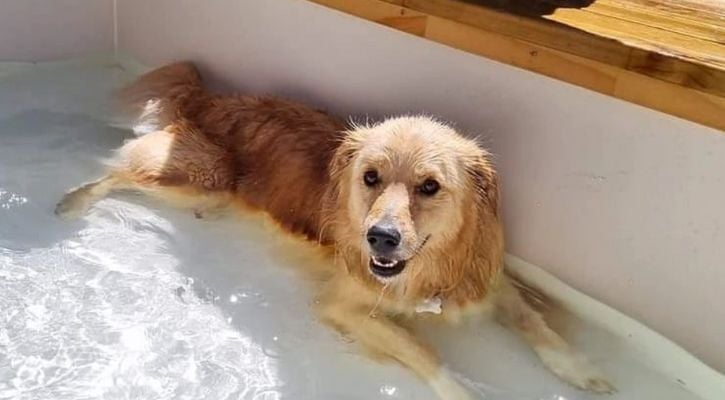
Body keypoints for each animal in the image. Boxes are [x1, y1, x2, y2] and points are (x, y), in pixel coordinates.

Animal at [55, 62, 612, 400]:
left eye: (430, 186)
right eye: (370, 177)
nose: (380, 238)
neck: (427, 272)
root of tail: (212, 98)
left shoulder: (486, 277)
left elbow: (535, 323)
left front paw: (580, 369)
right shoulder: (343, 305)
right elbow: (422, 350)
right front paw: (461, 390)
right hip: (198, 178)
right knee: (115, 172)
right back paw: (73, 200)